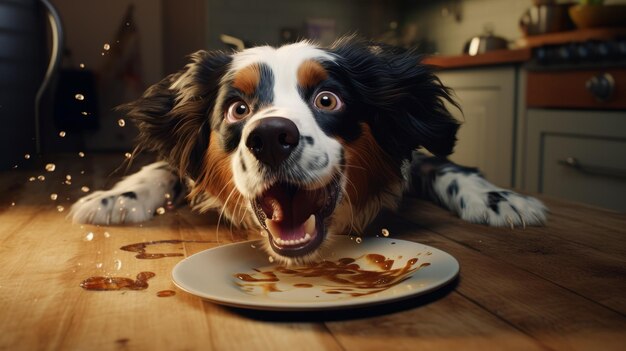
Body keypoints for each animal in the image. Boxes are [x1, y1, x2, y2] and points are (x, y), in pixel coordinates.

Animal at [70, 37, 544, 264]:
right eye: (238, 108)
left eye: (327, 100)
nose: (270, 138)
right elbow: (165, 168)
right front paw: (115, 198)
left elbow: (444, 165)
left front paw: (500, 198)